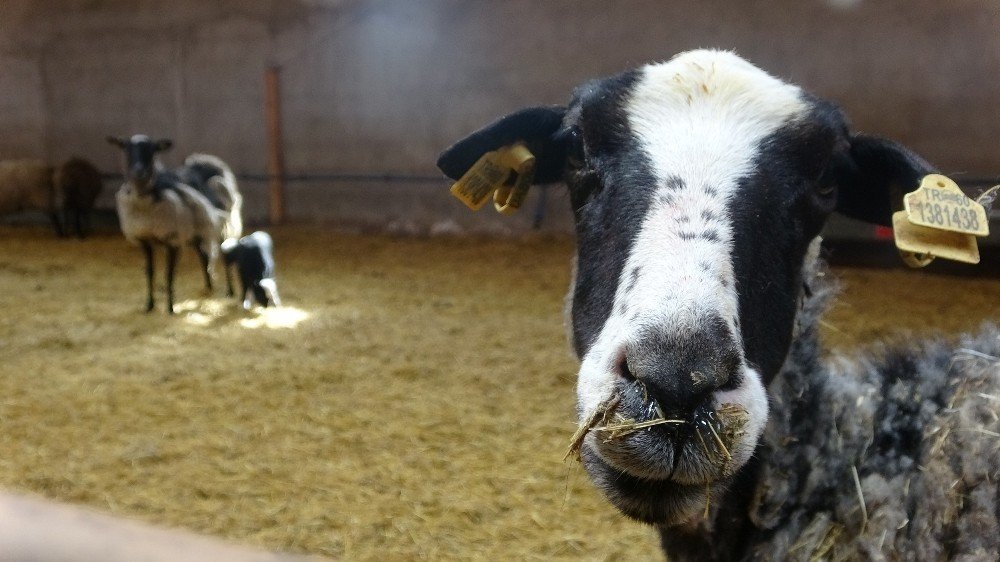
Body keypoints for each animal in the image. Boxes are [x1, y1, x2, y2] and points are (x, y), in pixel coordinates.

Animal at [108, 133, 229, 312]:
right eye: (127, 148)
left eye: (152, 150)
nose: (139, 171)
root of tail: (203, 165)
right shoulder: (145, 241)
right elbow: (150, 272)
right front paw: (149, 305)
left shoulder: (173, 239)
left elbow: (169, 274)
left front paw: (171, 308)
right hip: (196, 230)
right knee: (204, 256)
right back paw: (208, 287)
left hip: (217, 226)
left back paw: (230, 291)